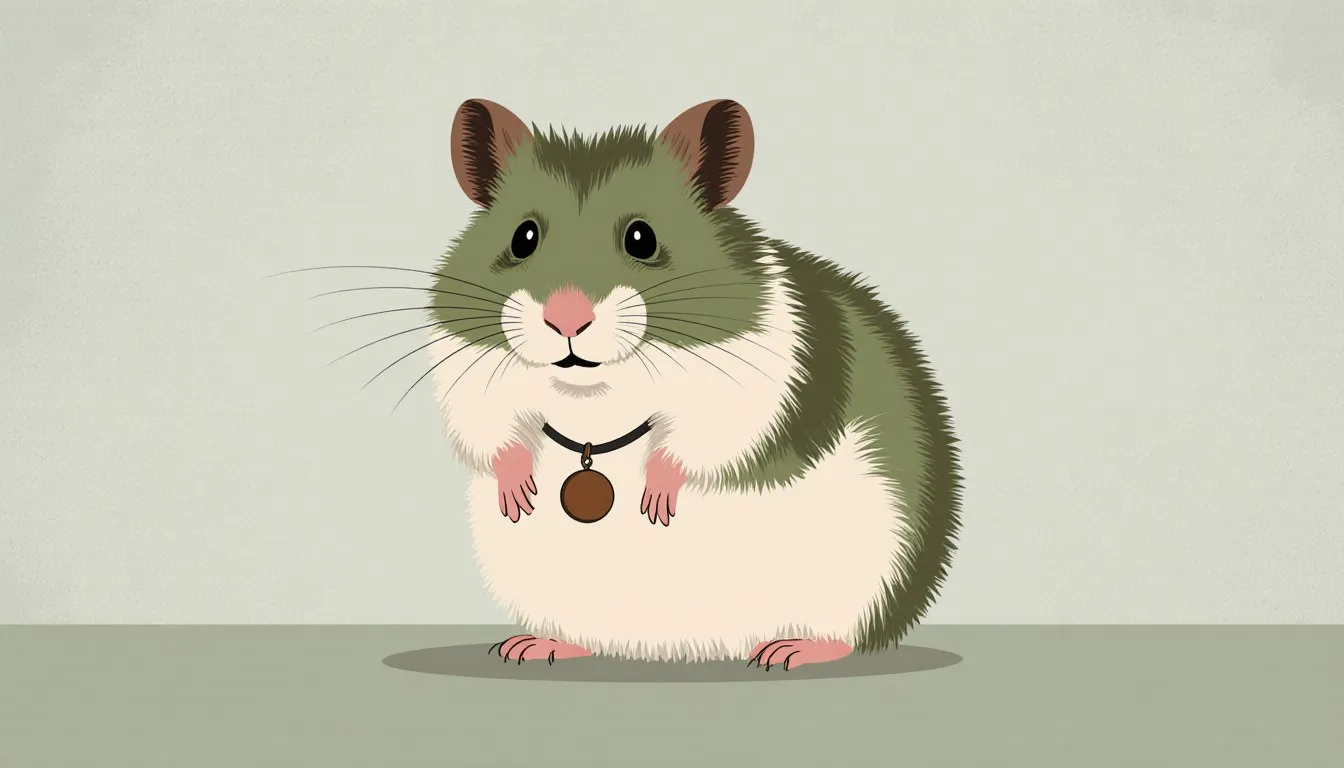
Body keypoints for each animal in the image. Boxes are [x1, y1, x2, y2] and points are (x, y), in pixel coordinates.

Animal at [423, 98, 963, 670]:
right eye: (523, 237)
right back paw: (531, 646)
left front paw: (656, 502)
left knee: (848, 636)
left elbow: (696, 441)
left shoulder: (753, 383)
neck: (596, 395)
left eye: (642, 238)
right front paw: (518, 498)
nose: (566, 319)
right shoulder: (466, 370)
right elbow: (492, 433)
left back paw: (788, 651)